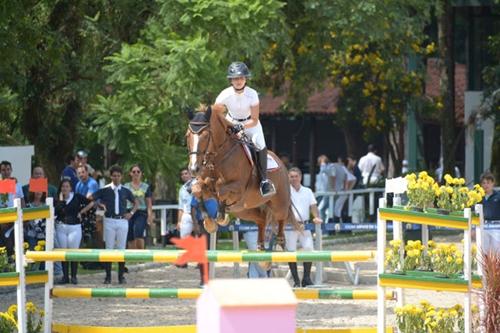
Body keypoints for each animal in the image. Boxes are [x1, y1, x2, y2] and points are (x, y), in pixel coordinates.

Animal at [187, 105, 296, 248]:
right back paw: (260, 248)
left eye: (205, 136)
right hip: (243, 210)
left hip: (279, 203)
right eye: (187, 135)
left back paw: (278, 245)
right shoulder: (205, 186)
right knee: (261, 219)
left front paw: (222, 217)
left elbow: (220, 189)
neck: (217, 159)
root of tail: (282, 165)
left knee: (281, 220)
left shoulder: (238, 188)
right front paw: (210, 223)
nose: (194, 169)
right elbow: (198, 189)